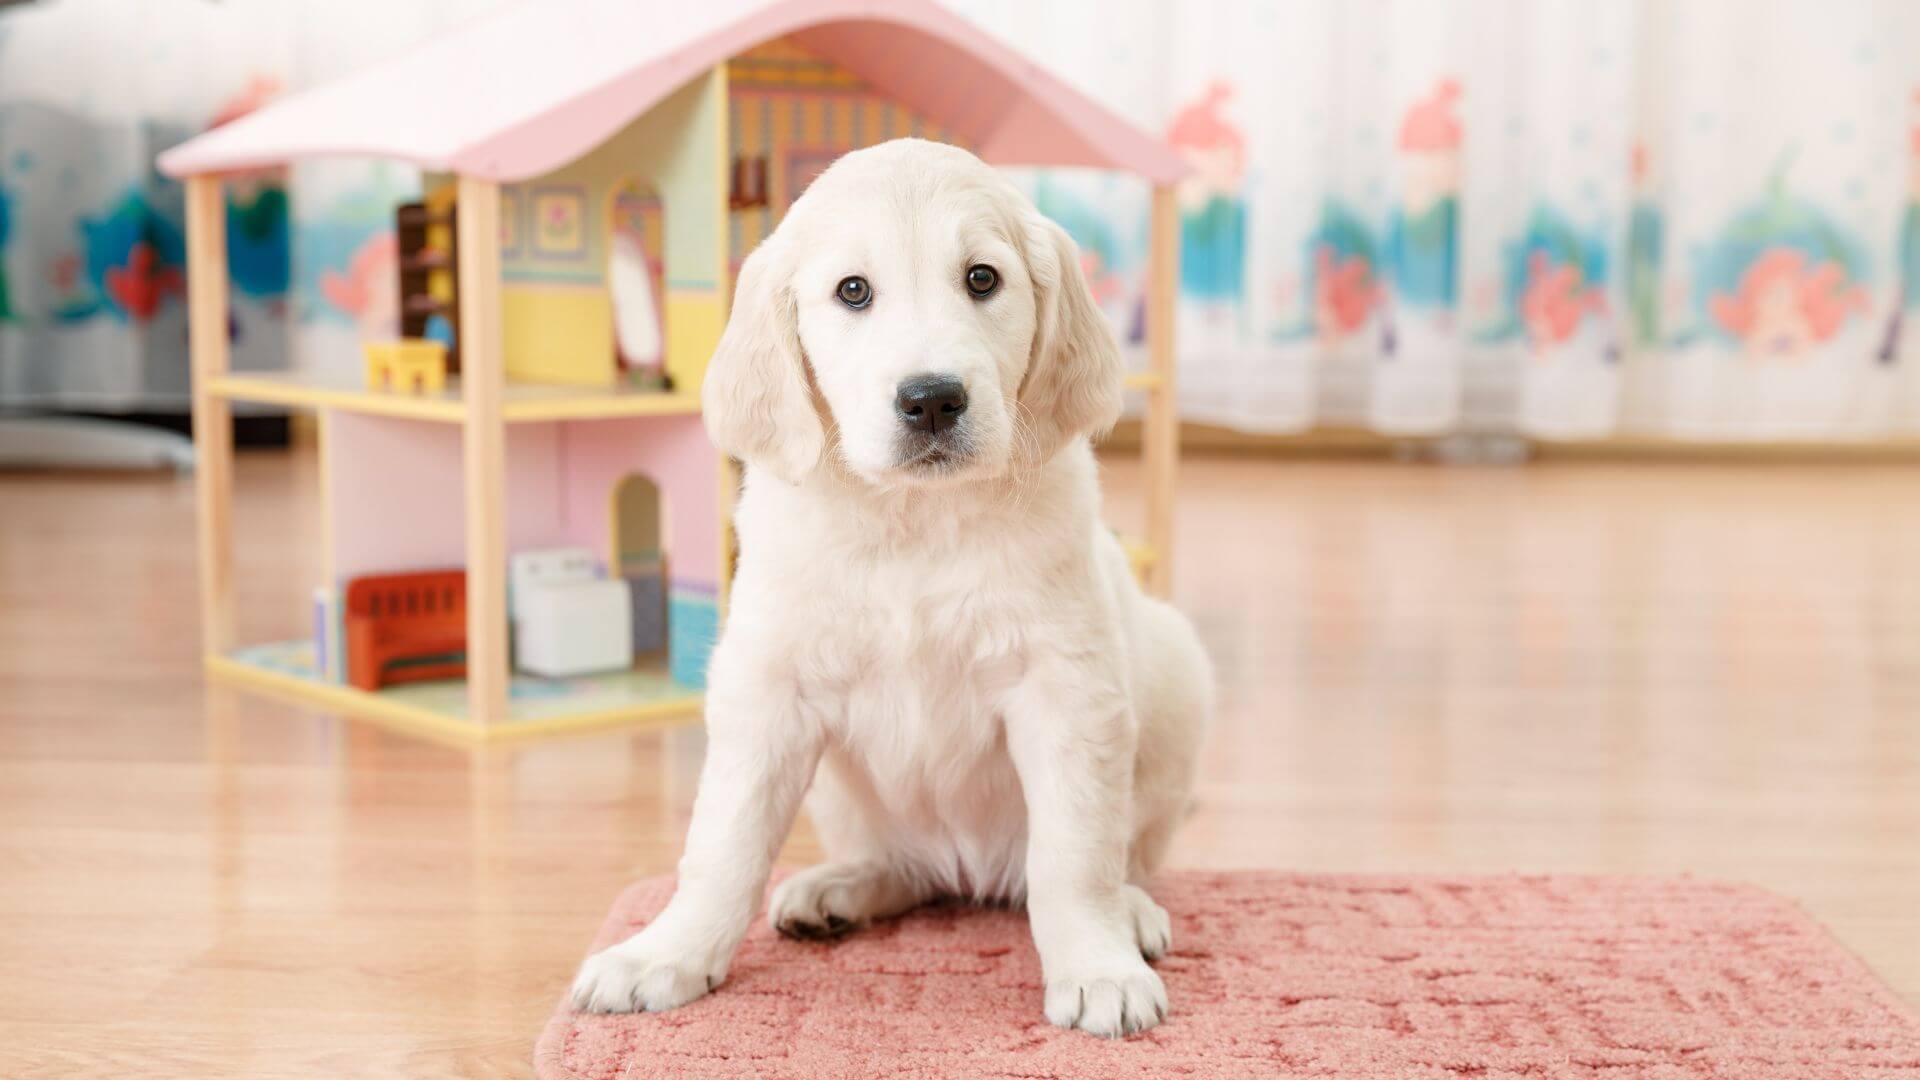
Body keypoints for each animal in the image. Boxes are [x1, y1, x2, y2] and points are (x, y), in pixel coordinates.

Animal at [560, 136, 1213, 1037]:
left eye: (983, 278)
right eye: (853, 291)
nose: (932, 400)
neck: (912, 521)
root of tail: (973, 872)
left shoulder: (1069, 688)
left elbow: (1075, 855)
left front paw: (1098, 963)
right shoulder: (767, 687)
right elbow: (722, 844)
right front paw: (668, 952)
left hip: (1175, 676)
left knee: (1120, 855)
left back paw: (1134, 913)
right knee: (902, 866)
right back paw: (839, 889)